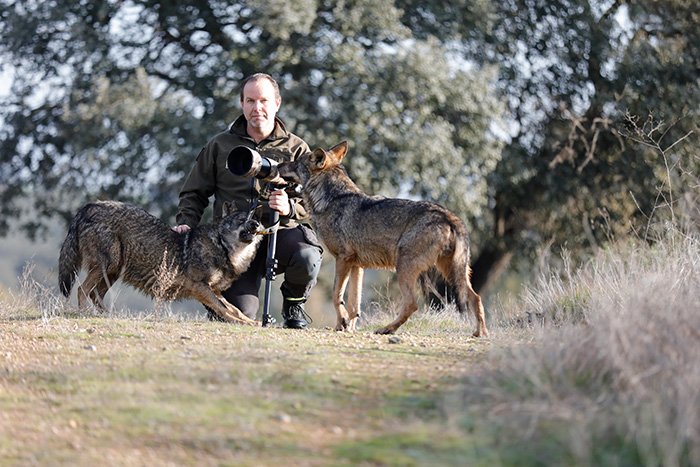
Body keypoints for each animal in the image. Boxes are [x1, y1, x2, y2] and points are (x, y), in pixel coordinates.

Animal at [58, 200, 263, 324]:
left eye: (255, 220)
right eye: (241, 220)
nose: (255, 225)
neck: (221, 246)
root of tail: (88, 206)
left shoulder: (214, 290)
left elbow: (235, 309)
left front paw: (252, 322)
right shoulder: (199, 287)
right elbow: (224, 309)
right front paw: (240, 323)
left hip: (113, 270)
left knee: (95, 295)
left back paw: (108, 316)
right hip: (106, 266)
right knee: (82, 289)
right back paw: (85, 314)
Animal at [276, 141, 489, 337]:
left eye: (296, 162)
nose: (278, 165)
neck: (332, 199)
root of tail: (450, 217)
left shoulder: (343, 259)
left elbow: (337, 294)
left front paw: (342, 323)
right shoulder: (357, 265)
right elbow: (354, 305)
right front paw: (345, 327)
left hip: (405, 267)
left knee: (412, 304)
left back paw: (386, 329)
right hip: (452, 272)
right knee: (476, 297)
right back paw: (481, 333)